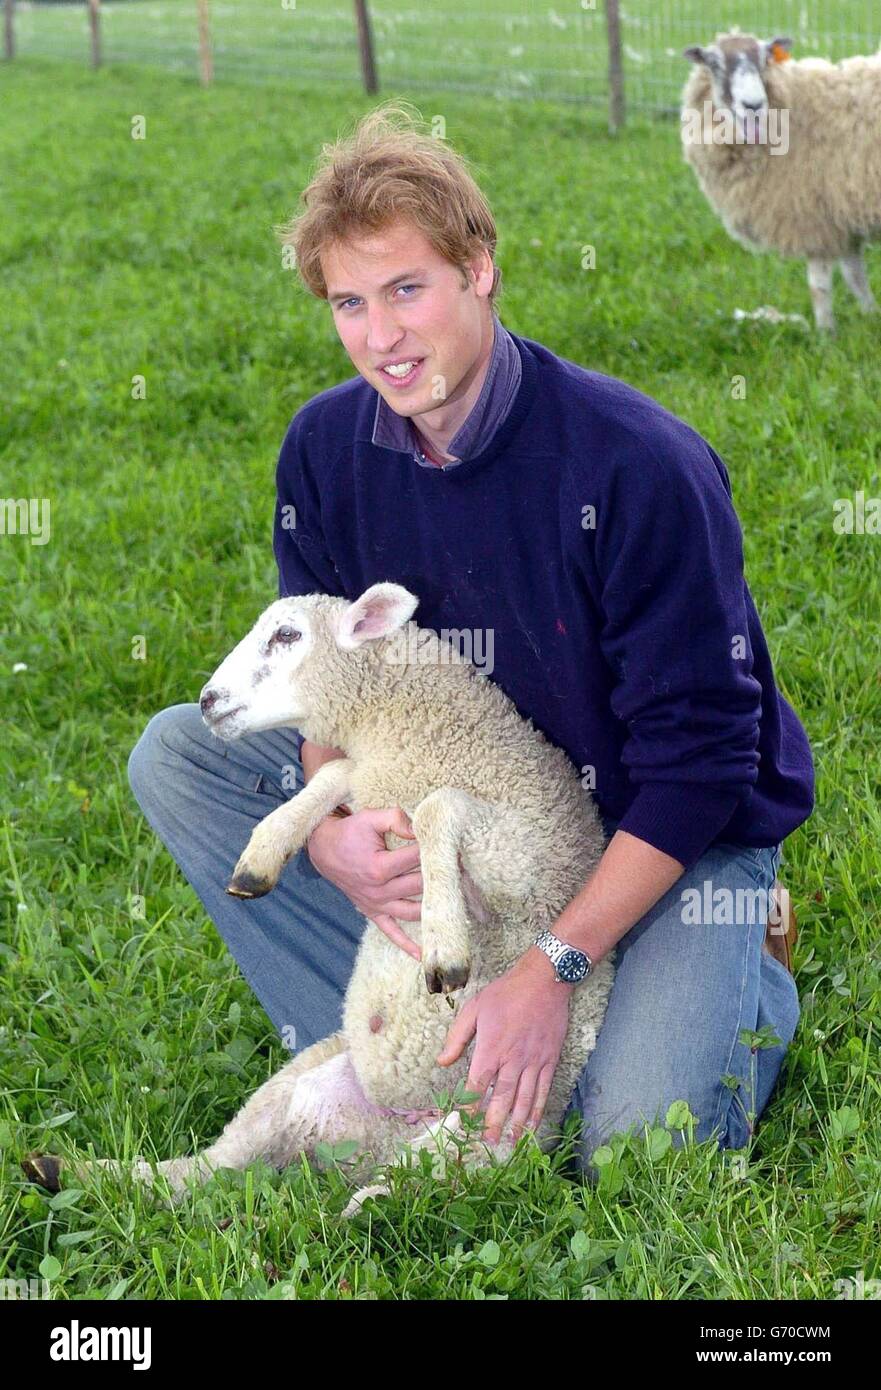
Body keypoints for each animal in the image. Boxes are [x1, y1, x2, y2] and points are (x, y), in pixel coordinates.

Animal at [29, 581, 616, 1212]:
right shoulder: (374, 783)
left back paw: (363, 1209)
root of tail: (381, 1137)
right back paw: (72, 1171)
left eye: (287, 635)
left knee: (408, 1188)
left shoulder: (526, 861)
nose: (209, 700)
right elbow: (336, 772)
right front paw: (262, 855)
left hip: (489, 1143)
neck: (415, 739)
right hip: (296, 1084)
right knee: (206, 1170)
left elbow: (437, 808)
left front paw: (445, 947)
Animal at [678, 30, 878, 330]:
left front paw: (825, 333)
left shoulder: (811, 215)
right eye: (714, 63)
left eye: (765, 58)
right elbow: (855, 276)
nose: (753, 105)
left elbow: (819, 286)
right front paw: (871, 315)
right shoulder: (841, 214)